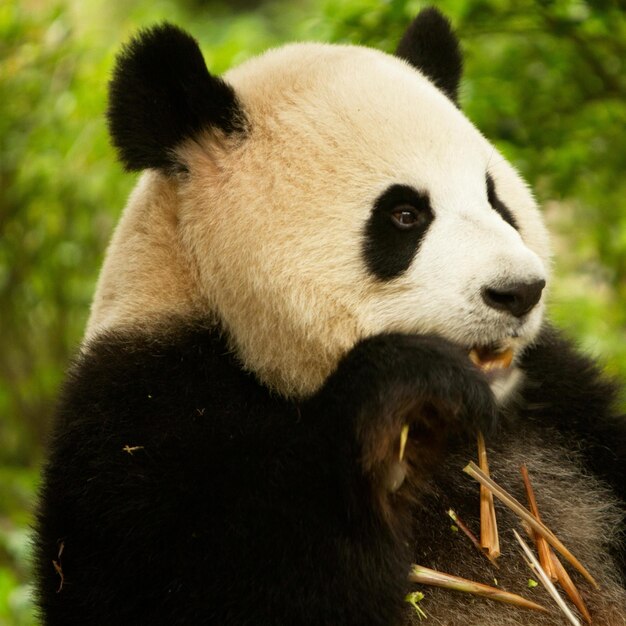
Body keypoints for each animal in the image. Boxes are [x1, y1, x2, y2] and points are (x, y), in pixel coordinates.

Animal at [35, 9, 624, 624]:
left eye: (495, 200)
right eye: (405, 215)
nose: (520, 291)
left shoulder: (560, 396)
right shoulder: (142, 417)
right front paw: (408, 382)